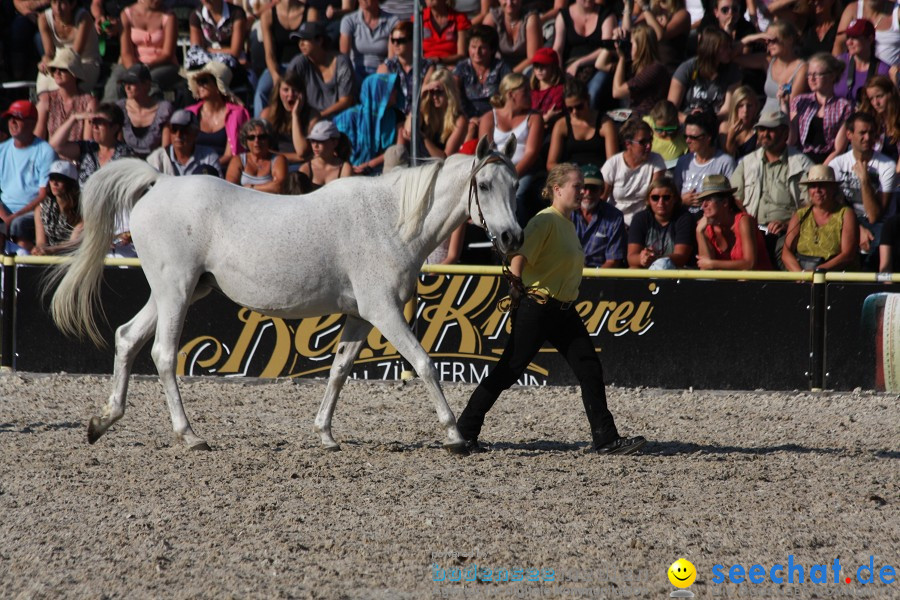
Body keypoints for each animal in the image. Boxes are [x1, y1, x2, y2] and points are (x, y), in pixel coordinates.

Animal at [49, 136, 524, 452]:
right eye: (484, 186)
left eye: (515, 184)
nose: (512, 237)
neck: (389, 220)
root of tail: (158, 184)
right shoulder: (384, 311)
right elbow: (425, 363)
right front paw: (455, 434)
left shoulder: (360, 315)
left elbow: (339, 371)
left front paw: (325, 434)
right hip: (176, 291)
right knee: (163, 355)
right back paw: (190, 436)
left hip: (176, 292)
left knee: (127, 338)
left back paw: (102, 421)